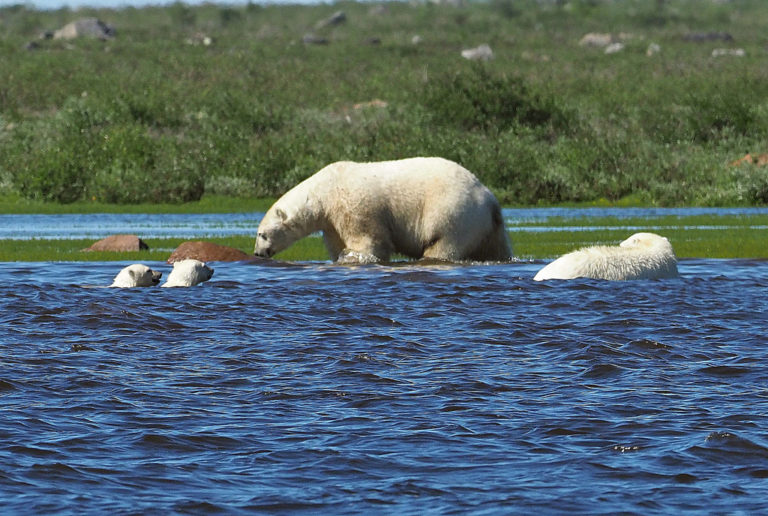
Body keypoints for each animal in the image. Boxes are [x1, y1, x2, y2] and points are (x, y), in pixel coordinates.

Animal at [253, 157, 512, 264]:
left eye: (262, 234)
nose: (258, 253)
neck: (322, 191)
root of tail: (488, 197)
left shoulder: (353, 205)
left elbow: (367, 238)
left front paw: (357, 256)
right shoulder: (331, 222)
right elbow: (336, 242)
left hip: (453, 212)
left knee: (443, 243)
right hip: (487, 223)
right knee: (495, 248)